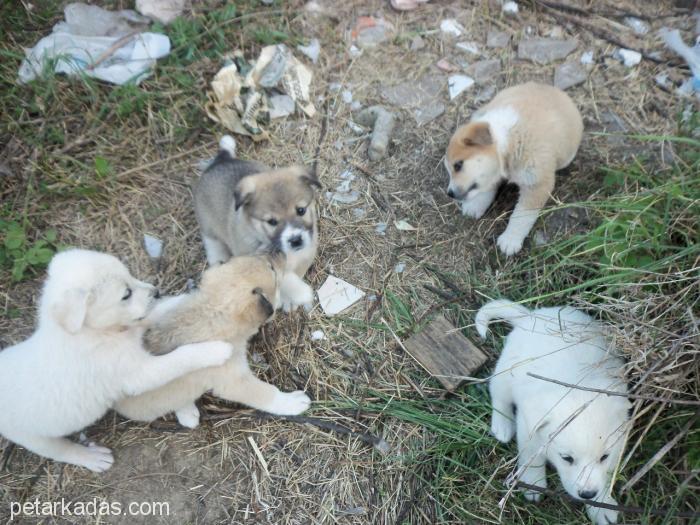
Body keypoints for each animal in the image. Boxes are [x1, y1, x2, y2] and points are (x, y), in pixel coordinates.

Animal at [0, 250, 235, 470]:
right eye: (126, 294)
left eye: (129, 274)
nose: (156, 291)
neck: (93, 332)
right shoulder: (139, 373)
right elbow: (181, 357)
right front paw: (216, 350)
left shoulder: (137, 323)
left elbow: (164, 309)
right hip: (33, 438)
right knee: (61, 451)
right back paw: (93, 458)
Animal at [116, 252, 310, 428]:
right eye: (272, 269)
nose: (280, 252)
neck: (213, 312)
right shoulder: (234, 382)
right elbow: (266, 394)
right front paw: (295, 402)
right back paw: (188, 414)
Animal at [194, 133, 320, 312]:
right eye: (272, 221)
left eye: (301, 210)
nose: (296, 240)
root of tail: (221, 161)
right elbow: (281, 276)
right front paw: (298, 293)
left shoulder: (305, 255)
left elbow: (294, 273)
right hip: (208, 226)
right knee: (212, 242)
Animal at [446, 82, 584, 256]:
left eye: (458, 165)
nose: (449, 193)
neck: (509, 139)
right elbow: (486, 187)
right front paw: (475, 205)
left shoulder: (537, 184)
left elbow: (521, 216)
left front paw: (510, 240)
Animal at [476, 298, 628, 524]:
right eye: (567, 458)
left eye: (604, 457)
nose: (587, 494)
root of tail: (531, 316)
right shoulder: (527, 425)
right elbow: (531, 455)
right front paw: (534, 483)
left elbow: (606, 475)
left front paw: (601, 505)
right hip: (505, 372)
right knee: (498, 395)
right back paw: (502, 425)